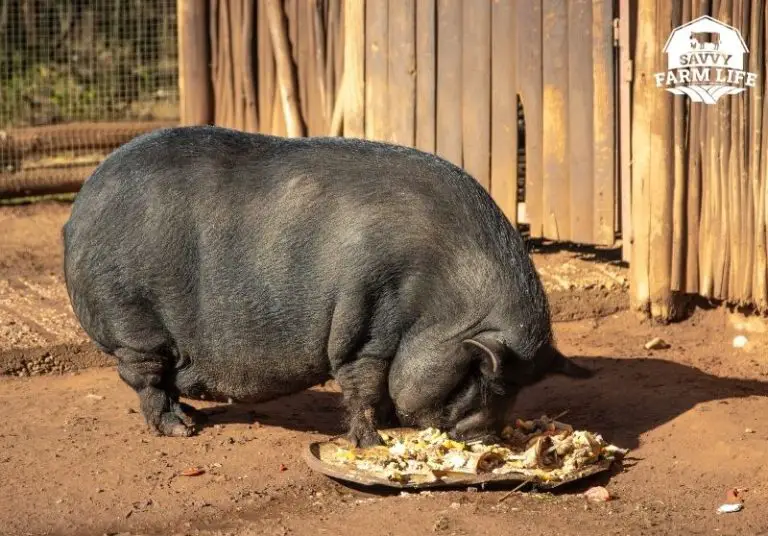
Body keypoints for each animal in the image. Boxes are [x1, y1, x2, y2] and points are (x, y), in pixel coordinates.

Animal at [62, 125, 592, 448]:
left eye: (517, 391)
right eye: (478, 377)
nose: (487, 439)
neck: (443, 304)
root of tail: (78, 208)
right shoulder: (367, 322)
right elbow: (363, 386)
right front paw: (375, 442)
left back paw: (196, 415)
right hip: (132, 321)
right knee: (147, 380)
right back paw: (183, 430)